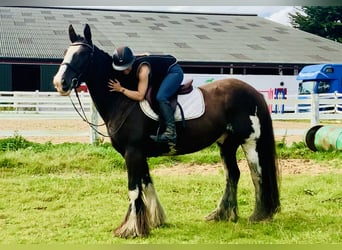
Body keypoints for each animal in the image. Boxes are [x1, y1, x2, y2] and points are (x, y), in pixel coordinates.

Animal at [52, 23, 280, 238]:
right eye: (66, 51)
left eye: (82, 54)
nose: (60, 83)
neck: (123, 101)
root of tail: (253, 92)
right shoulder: (138, 154)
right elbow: (147, 184)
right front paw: (154, 220)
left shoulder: (132, 152)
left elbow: (134, 189)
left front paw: (131, 229)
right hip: (226, 143)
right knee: (232, 174)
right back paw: (223, 214)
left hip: (250, 141)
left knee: (257, 174)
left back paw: (259, 215)